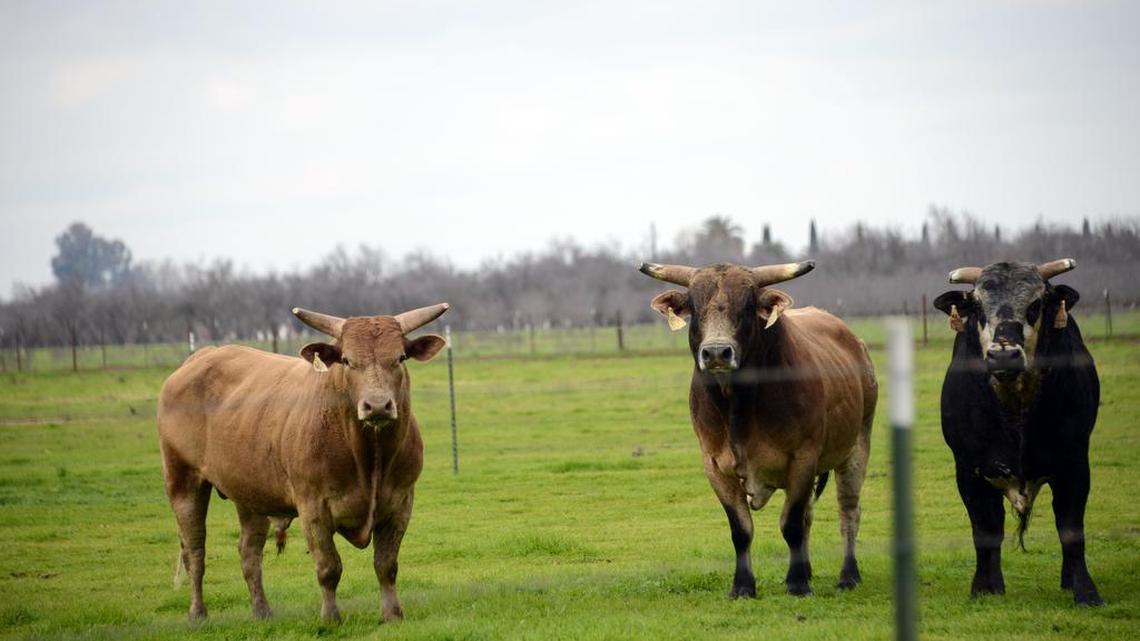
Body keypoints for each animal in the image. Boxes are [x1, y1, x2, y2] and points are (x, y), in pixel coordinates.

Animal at [158, 303, 449, 623]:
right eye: (347, 361)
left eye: (399, 358)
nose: (377, 406)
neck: (369, 457)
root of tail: (201, 356)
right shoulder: (313, 508)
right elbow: (329, 567)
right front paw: (331, 618)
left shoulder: (400, 504)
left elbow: (386, 565)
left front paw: (392, 615)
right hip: (183, 480)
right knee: (194, 550)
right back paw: (198, 613)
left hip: (250, 492)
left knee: (249, 551)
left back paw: (262, 611)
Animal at [638, 260, 877, 597]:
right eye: (694, 307)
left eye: (748, 306)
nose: (716, 353)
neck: (737, 404)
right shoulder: (715, 466)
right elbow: (742, 529)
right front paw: (743, 586)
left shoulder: (803, 459)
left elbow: (790, 524)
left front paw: (797, 584)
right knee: (810, 515)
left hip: (856, 448)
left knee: (848, 512)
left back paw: (848, 575)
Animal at [933, 258, 1103, 605]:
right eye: (978, 306)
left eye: (1036, 304)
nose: (1003, 355)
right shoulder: (968, 470)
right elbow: (985, 529)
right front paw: (985, 587)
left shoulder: (1075, 464)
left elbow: (1071, 529)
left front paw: (1085, 590)